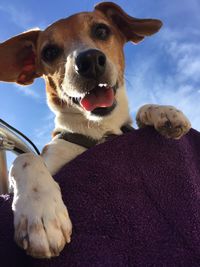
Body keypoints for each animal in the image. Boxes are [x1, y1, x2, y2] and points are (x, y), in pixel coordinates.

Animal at [0, 1, 191, 258]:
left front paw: (164, 112)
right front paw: (39, 214)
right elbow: (27, 158)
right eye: (49, 52)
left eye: (101, 30)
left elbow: (139, 116)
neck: (100, 131)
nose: (89, 60)